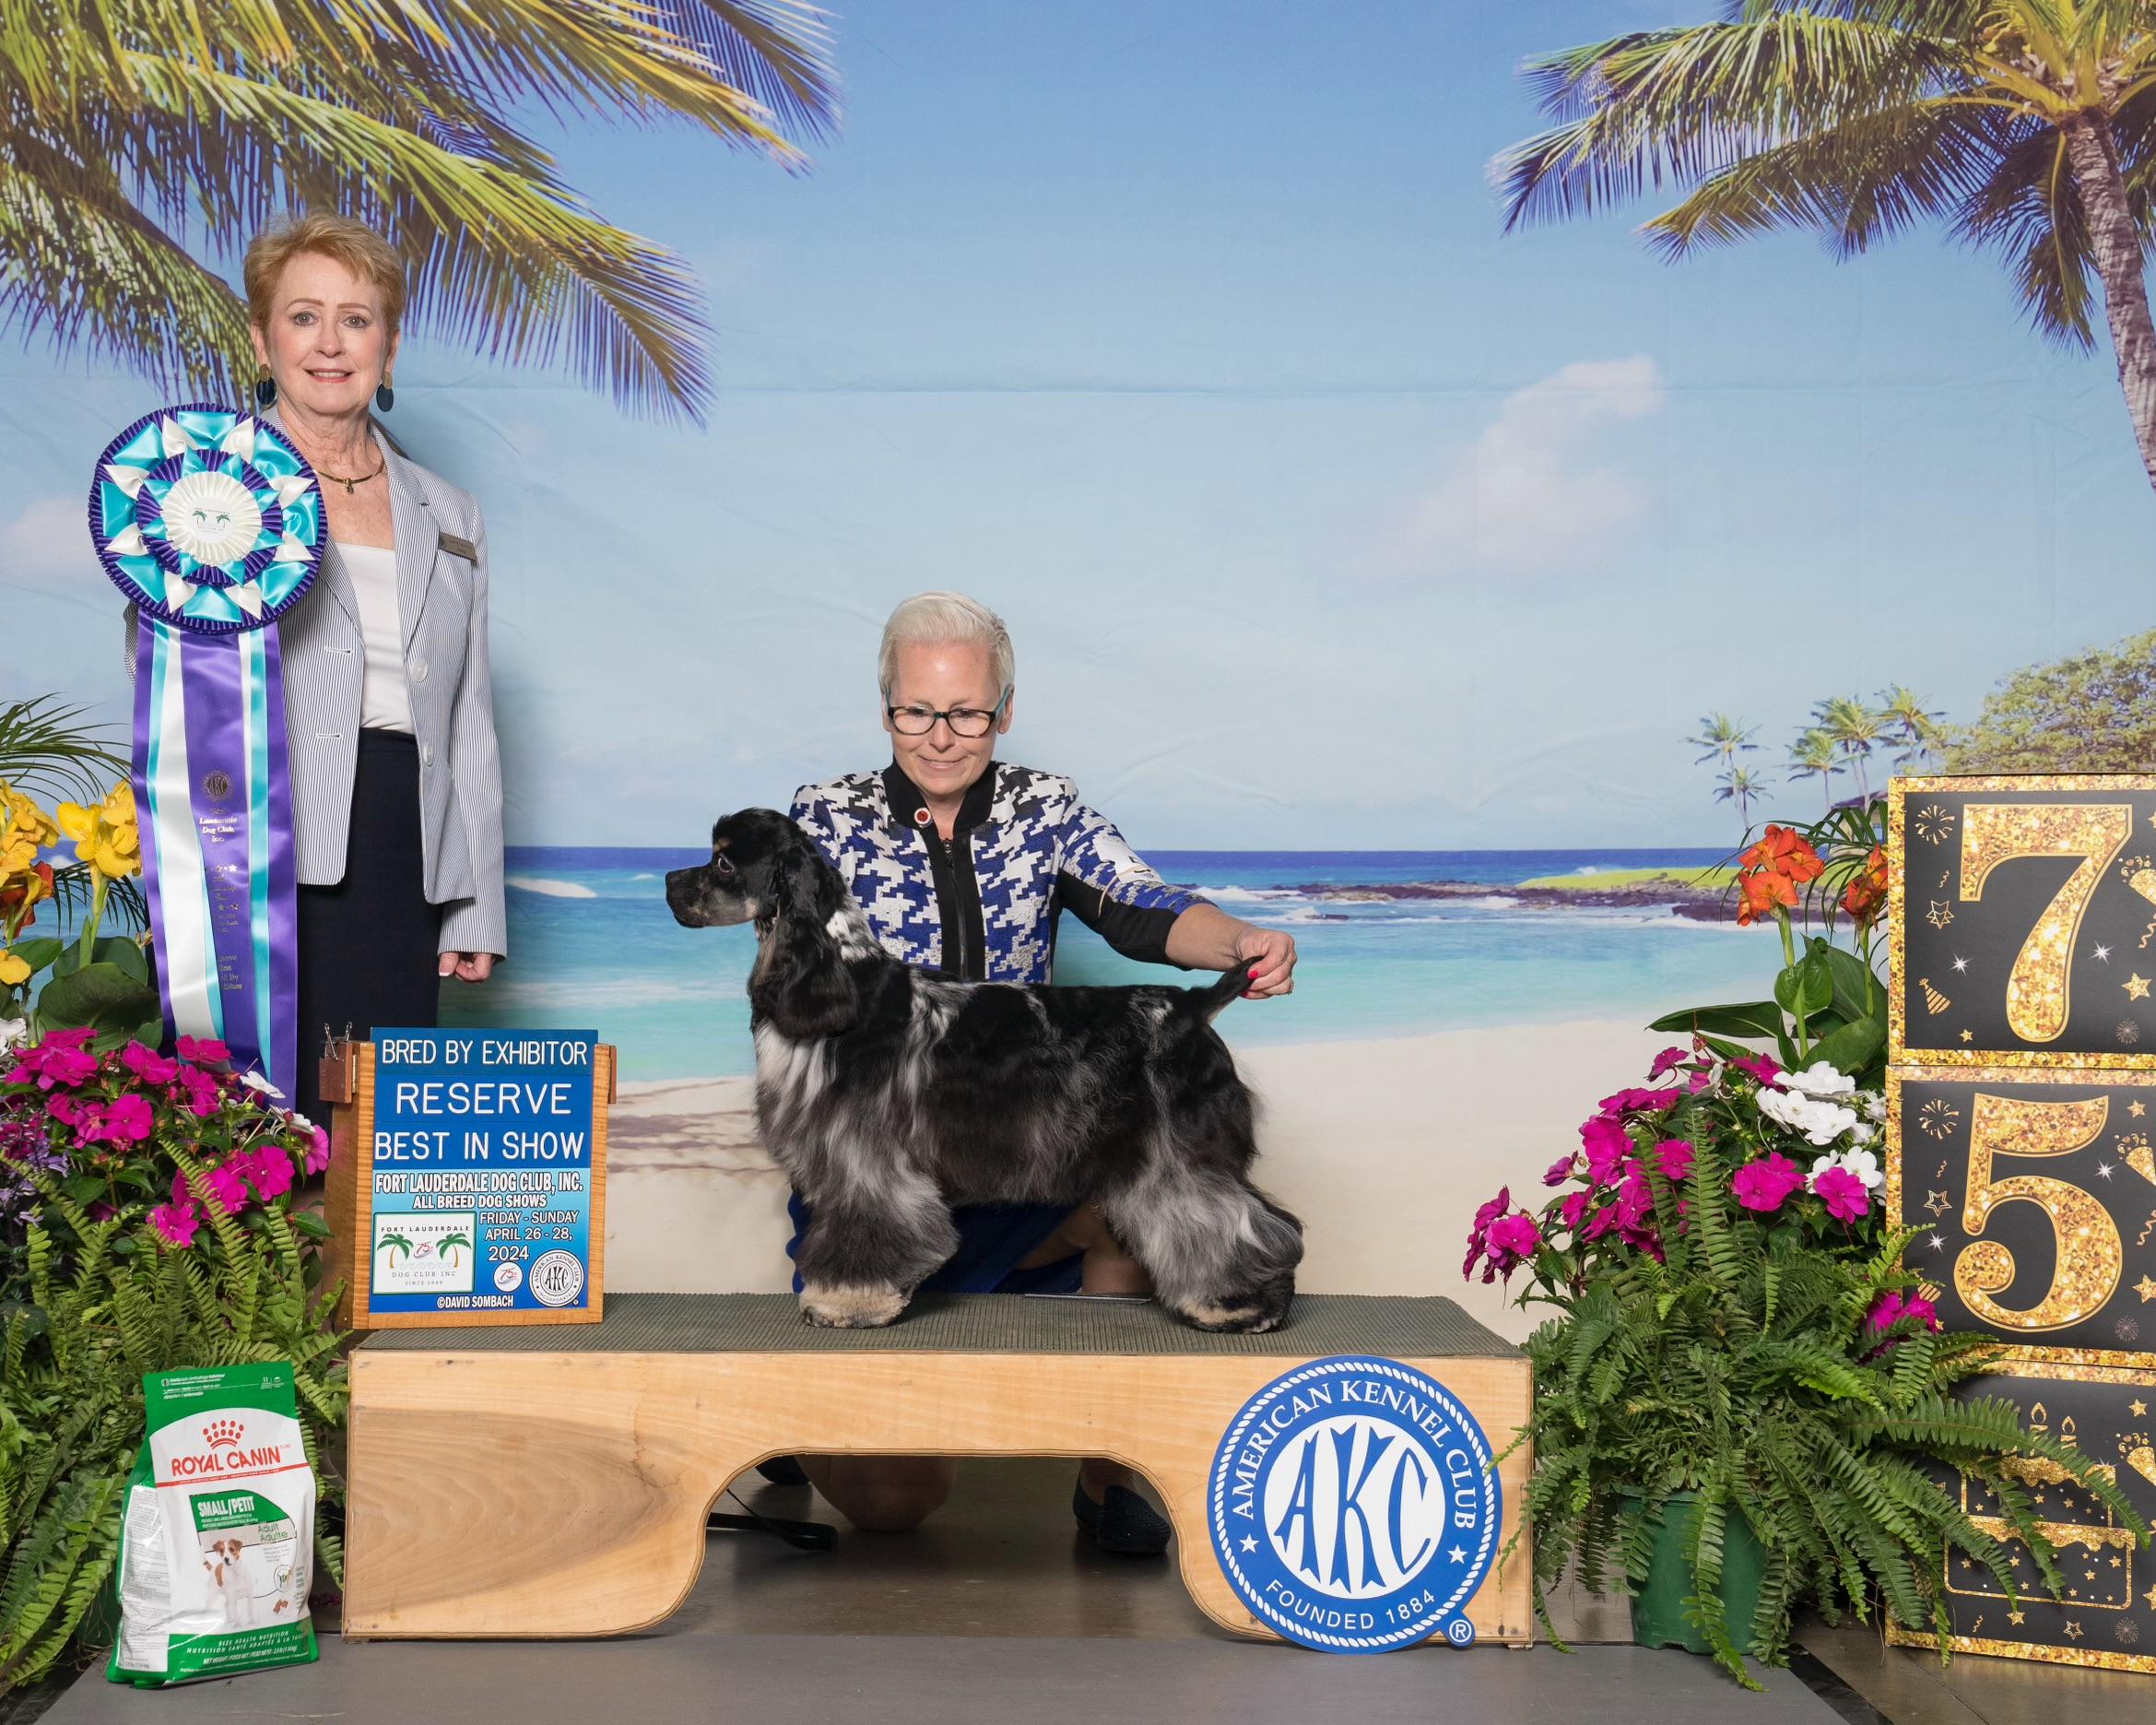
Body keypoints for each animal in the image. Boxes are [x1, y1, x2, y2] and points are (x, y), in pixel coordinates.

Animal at [666, 808, 1303, 1332]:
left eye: (723, 861)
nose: (670, 882)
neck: (839, 976)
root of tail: (1193, 1005)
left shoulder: (864, 1154)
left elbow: (866, 1228)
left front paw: (847, 1302)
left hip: (1180, 1155)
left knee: (1243, 1223)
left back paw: (1241, 1305)